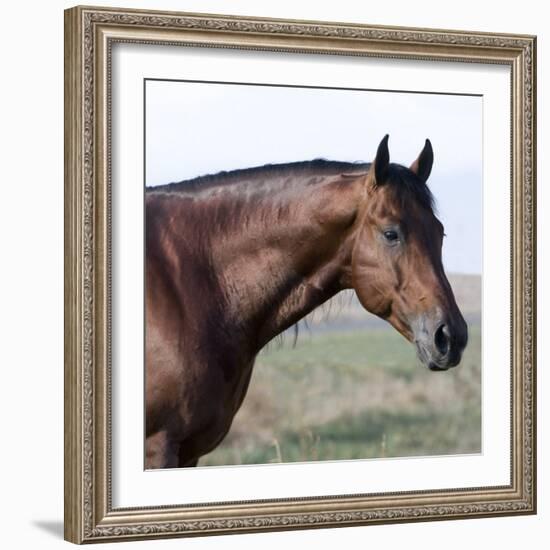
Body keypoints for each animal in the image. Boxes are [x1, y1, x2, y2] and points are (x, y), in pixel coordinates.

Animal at [146, 136, 470, 468]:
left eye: (440, 232)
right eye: (391, 233)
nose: (451, 336)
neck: (192, 282)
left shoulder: (190, 452)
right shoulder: (159, 446)